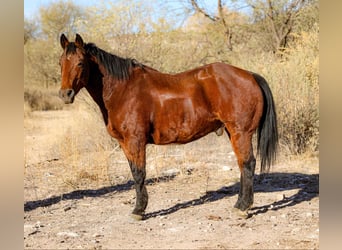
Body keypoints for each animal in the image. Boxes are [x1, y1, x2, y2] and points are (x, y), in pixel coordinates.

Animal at [58, 34, 278, 220]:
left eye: (80, 63)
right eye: (60, 62)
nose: (65, 94)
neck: (124, 90)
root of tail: (250, 75)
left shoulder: (135, 141)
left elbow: (139, 174)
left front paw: (139, 210)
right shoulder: (124, 143)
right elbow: (134, 172)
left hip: (241, 133)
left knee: (248, 164)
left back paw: (243, 207)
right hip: (233, 133)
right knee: (242, 165)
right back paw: (240, 203)